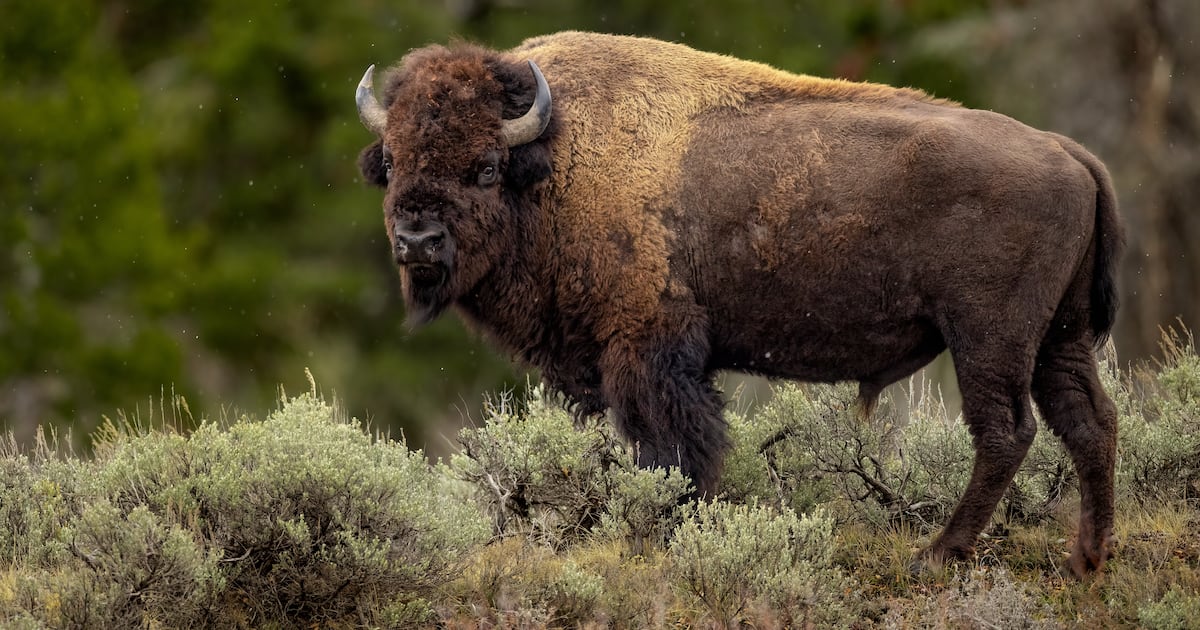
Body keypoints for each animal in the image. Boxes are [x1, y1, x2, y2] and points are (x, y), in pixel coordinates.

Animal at [354, 31, 1124, 576]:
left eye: (485, 167)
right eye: (391, 161)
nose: (417, 240)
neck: (554, 159)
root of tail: (1068, 152)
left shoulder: (648, 349)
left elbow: (674, 450)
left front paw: (667, 528)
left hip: (988, 338)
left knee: (1006, 432)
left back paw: (936, 555)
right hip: (1060, 338)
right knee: (1090, 423)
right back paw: (1087, 559)